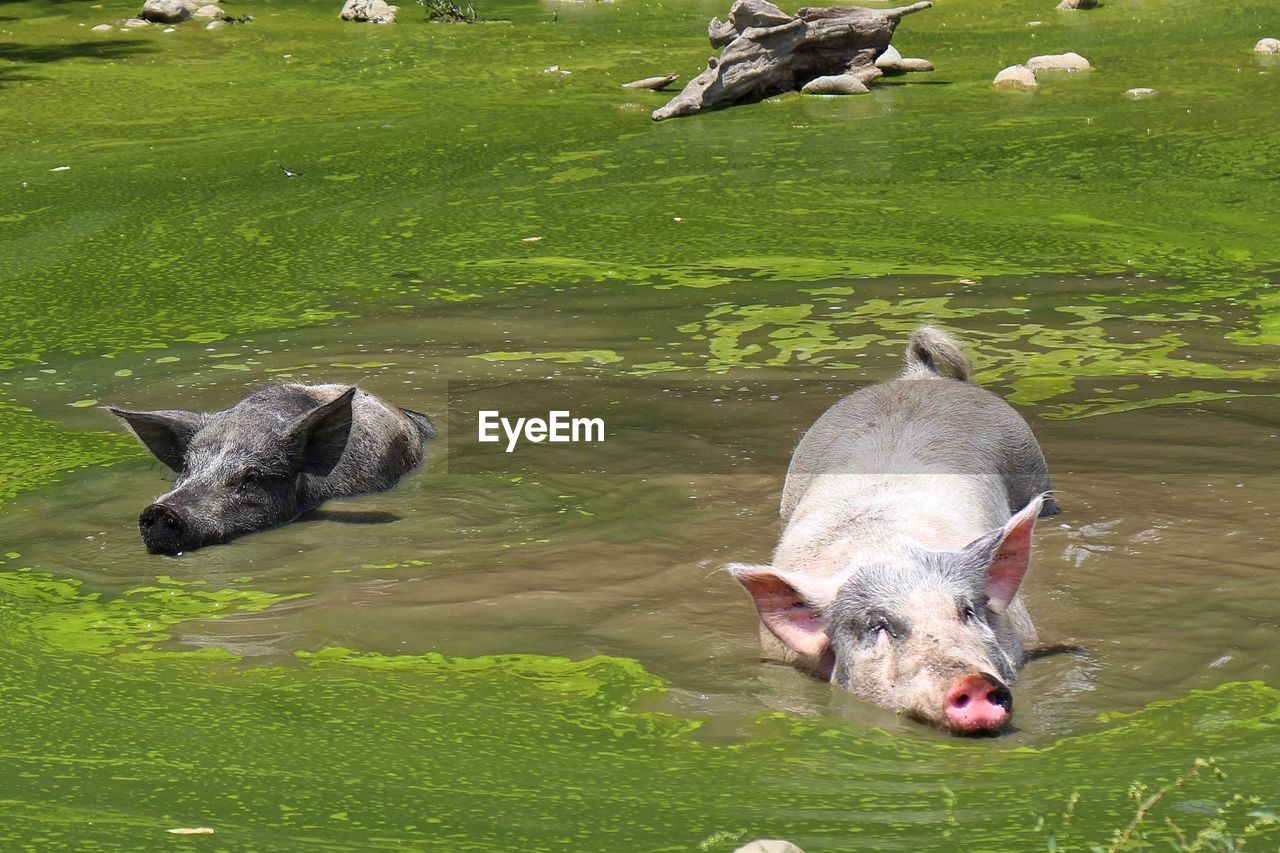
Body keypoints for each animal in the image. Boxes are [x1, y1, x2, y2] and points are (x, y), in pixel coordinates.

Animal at [732, 325, 1059, 732]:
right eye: (880, 625)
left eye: (967, 611)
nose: (974, 681)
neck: (886, 548)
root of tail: (922, 376)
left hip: (1035, 471)